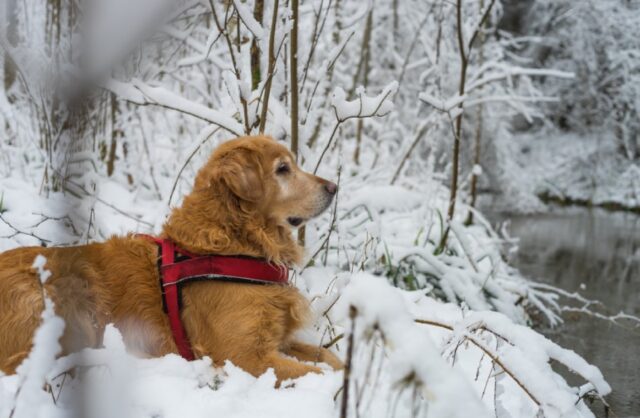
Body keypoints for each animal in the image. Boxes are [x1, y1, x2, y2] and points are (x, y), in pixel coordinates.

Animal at [0, 136, 342, 382]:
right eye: (283, 169)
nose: (334, 187)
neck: (233, 242)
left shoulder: (277, 340)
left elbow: (329, 358)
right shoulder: (245, 356)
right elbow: (317, 373)